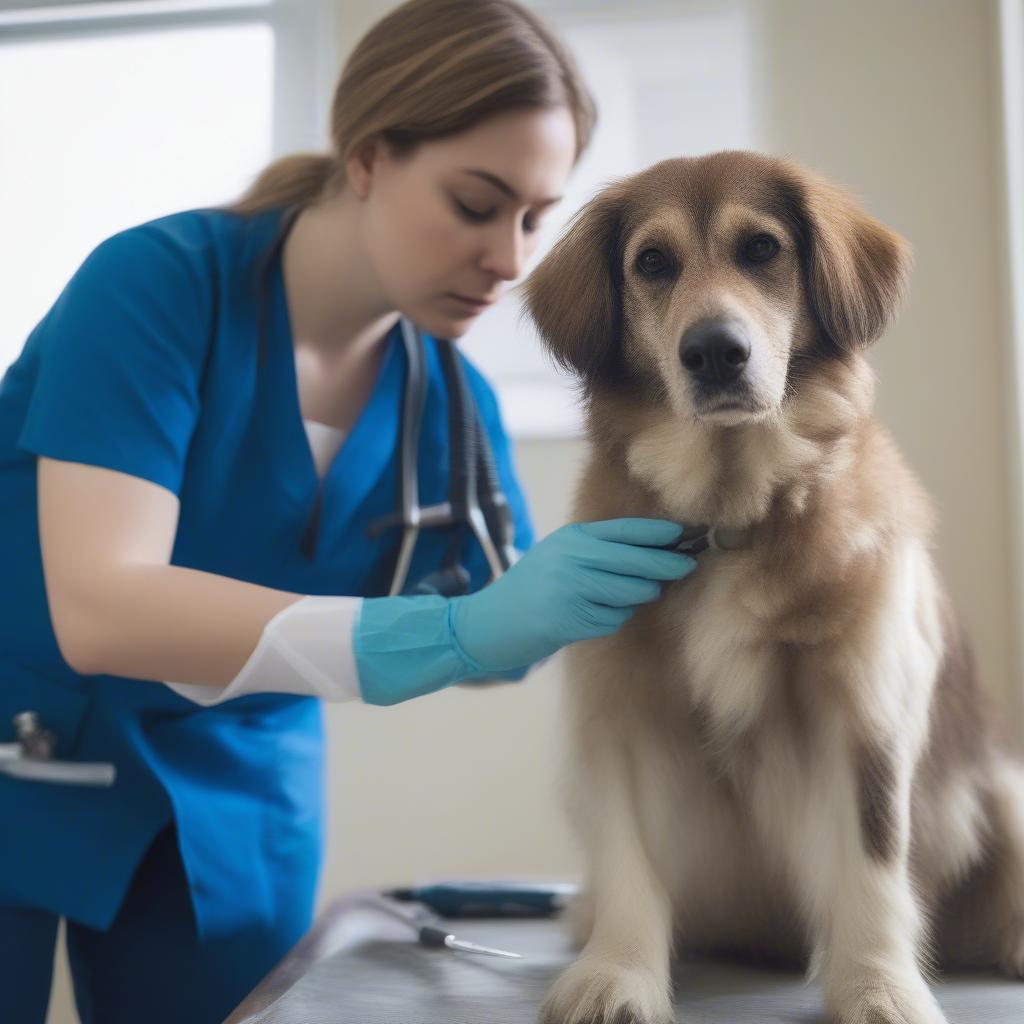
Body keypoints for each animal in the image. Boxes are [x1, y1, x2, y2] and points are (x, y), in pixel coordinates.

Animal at [520, 151, 1024, 1024]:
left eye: (761, 249)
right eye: (653, 262)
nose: (715, 351)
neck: (731, 517)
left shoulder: (865, 707)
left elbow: (871, 862)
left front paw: (878, 986)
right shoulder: (617, 709)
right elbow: (627, 860)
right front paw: (618, 973)